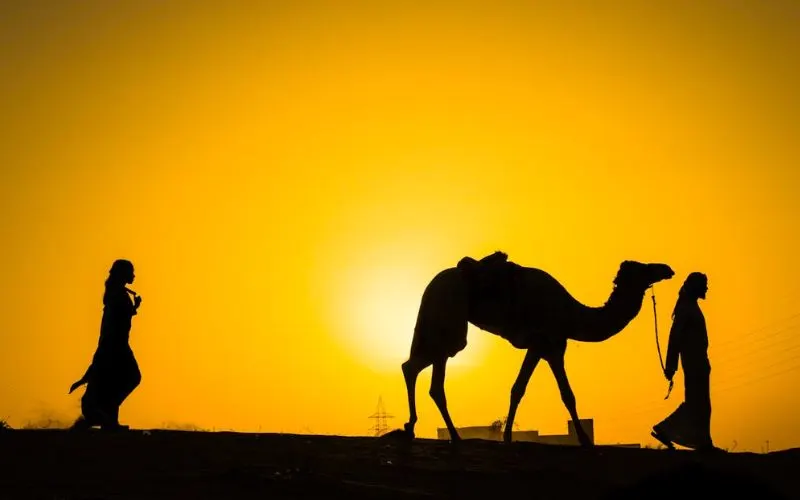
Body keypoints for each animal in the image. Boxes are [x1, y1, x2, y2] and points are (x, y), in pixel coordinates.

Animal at [400, 251, 675, 447]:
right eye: (643, 268)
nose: (666, 268)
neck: (572, 314)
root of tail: (431, 285)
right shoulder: (554, 344)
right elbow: (567, 394)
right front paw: (585, 440)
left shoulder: (537, 346)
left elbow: (517, 389)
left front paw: (508, 437)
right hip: (450, 320)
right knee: (432, 374)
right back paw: (450, 436)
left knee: (413, 367)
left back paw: (414, 428)